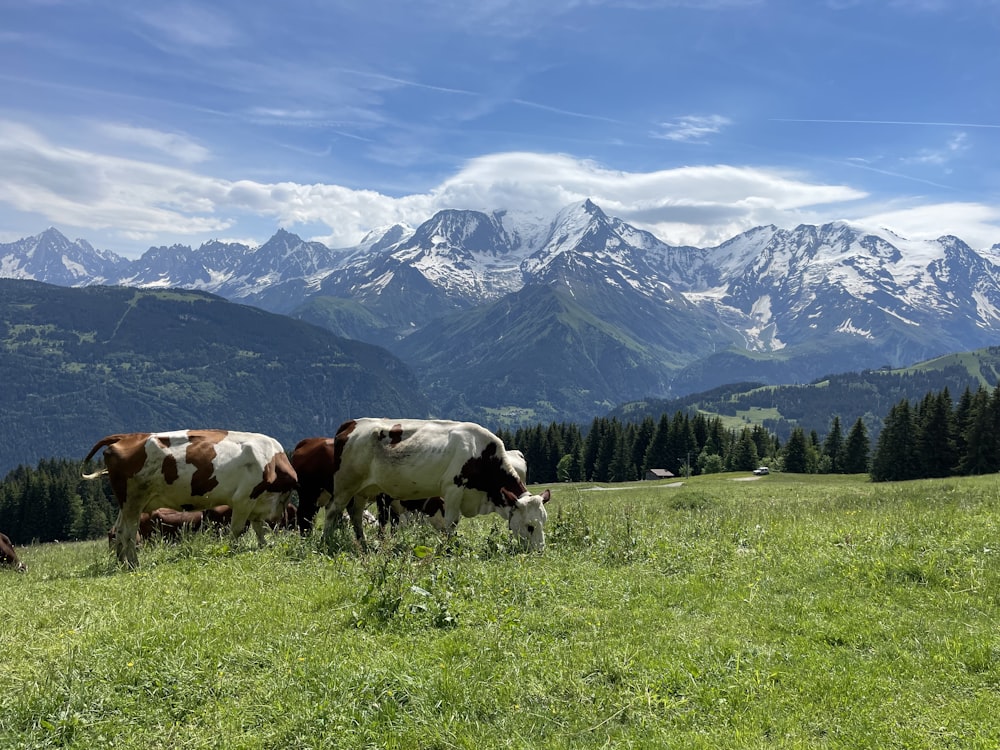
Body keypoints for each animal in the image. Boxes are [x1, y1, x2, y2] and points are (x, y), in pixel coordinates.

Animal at [324, 418, 552, 552]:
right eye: (530, 526)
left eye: (544, 521)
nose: (540, 551)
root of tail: (353, 423)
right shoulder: (453, 488)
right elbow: (451, 523)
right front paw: (448, 549)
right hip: (345, 484)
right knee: (332, 511)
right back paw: (325, 542)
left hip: (364, 489)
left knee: (355, 515)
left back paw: (364, 545)